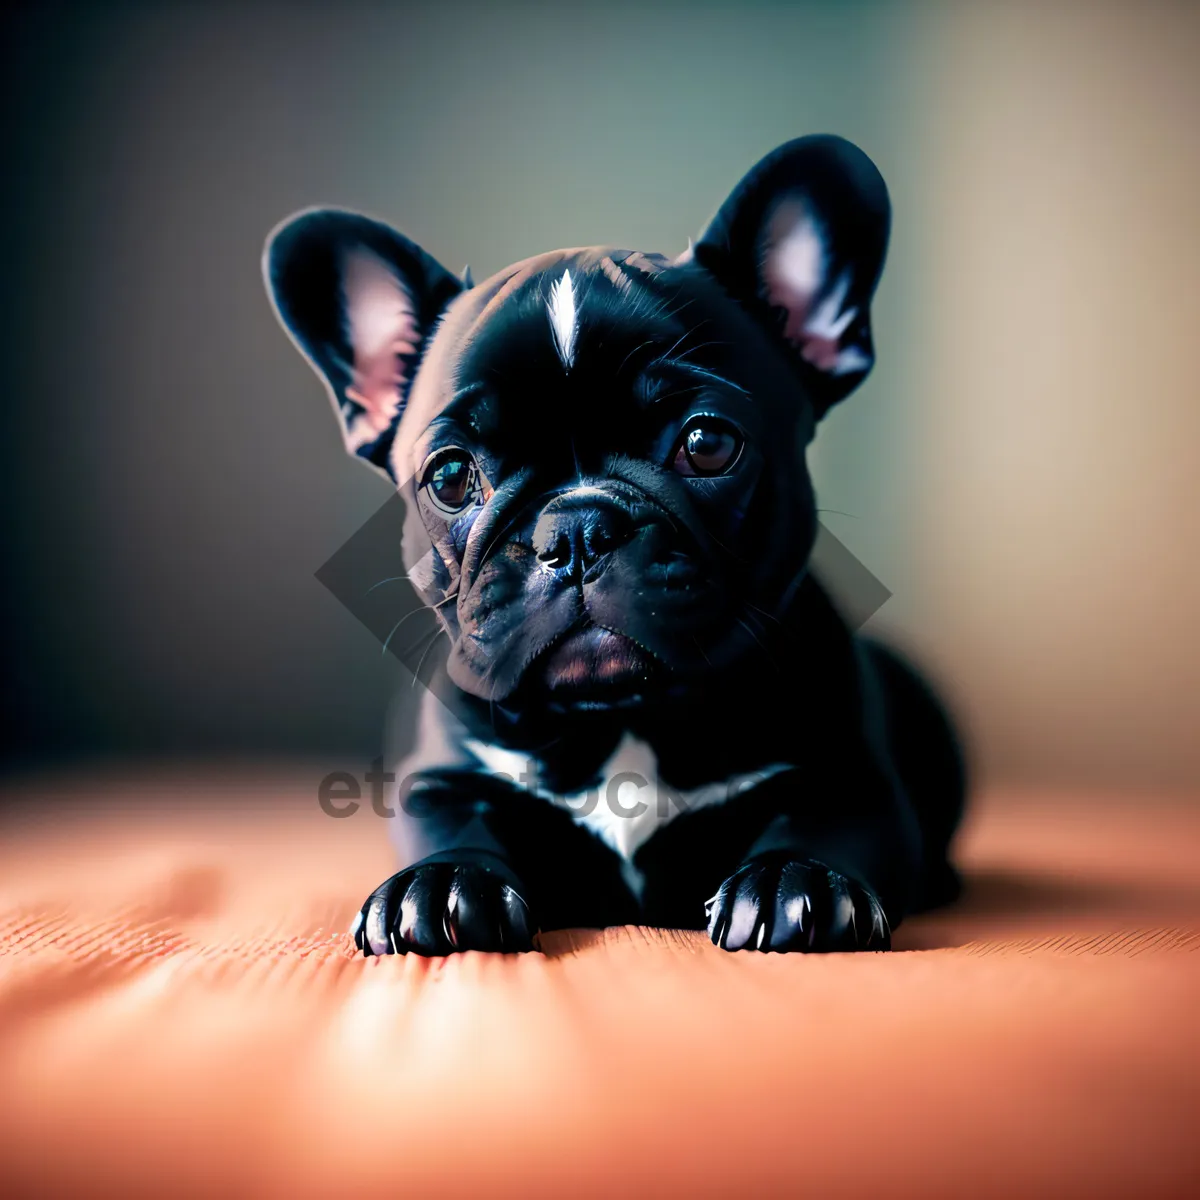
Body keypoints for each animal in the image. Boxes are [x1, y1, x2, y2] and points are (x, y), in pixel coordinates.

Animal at [265, 133, 964, 955]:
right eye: (450, 476)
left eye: (707, 443)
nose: (576, 528)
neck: (619, 716)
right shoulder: (444, 780)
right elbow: (454, 824)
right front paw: (438, 883)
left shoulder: (849, 774)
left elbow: (826, 819)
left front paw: (800, 879)